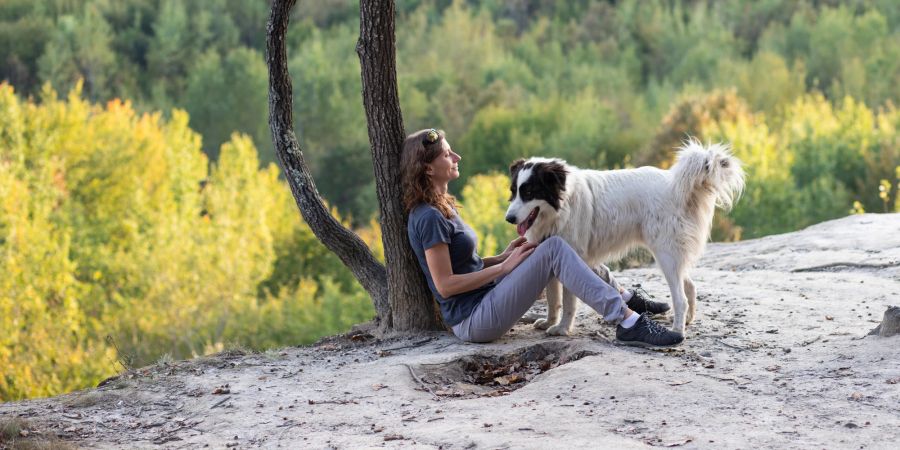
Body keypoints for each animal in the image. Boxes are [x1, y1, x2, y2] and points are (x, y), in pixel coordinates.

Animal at [506, 140, 744, 334]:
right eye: (514, 191)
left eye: (529, 192)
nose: (509, 218)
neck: (562, 206)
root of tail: (676, 186)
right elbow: (553, 300)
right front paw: (549, 323)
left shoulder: (570, 256)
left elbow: (568, 302)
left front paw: (562, 329)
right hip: (673, 255)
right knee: (691, 287)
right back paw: (687, 321)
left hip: (665, 254)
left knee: (681, 298)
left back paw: (677, 331)